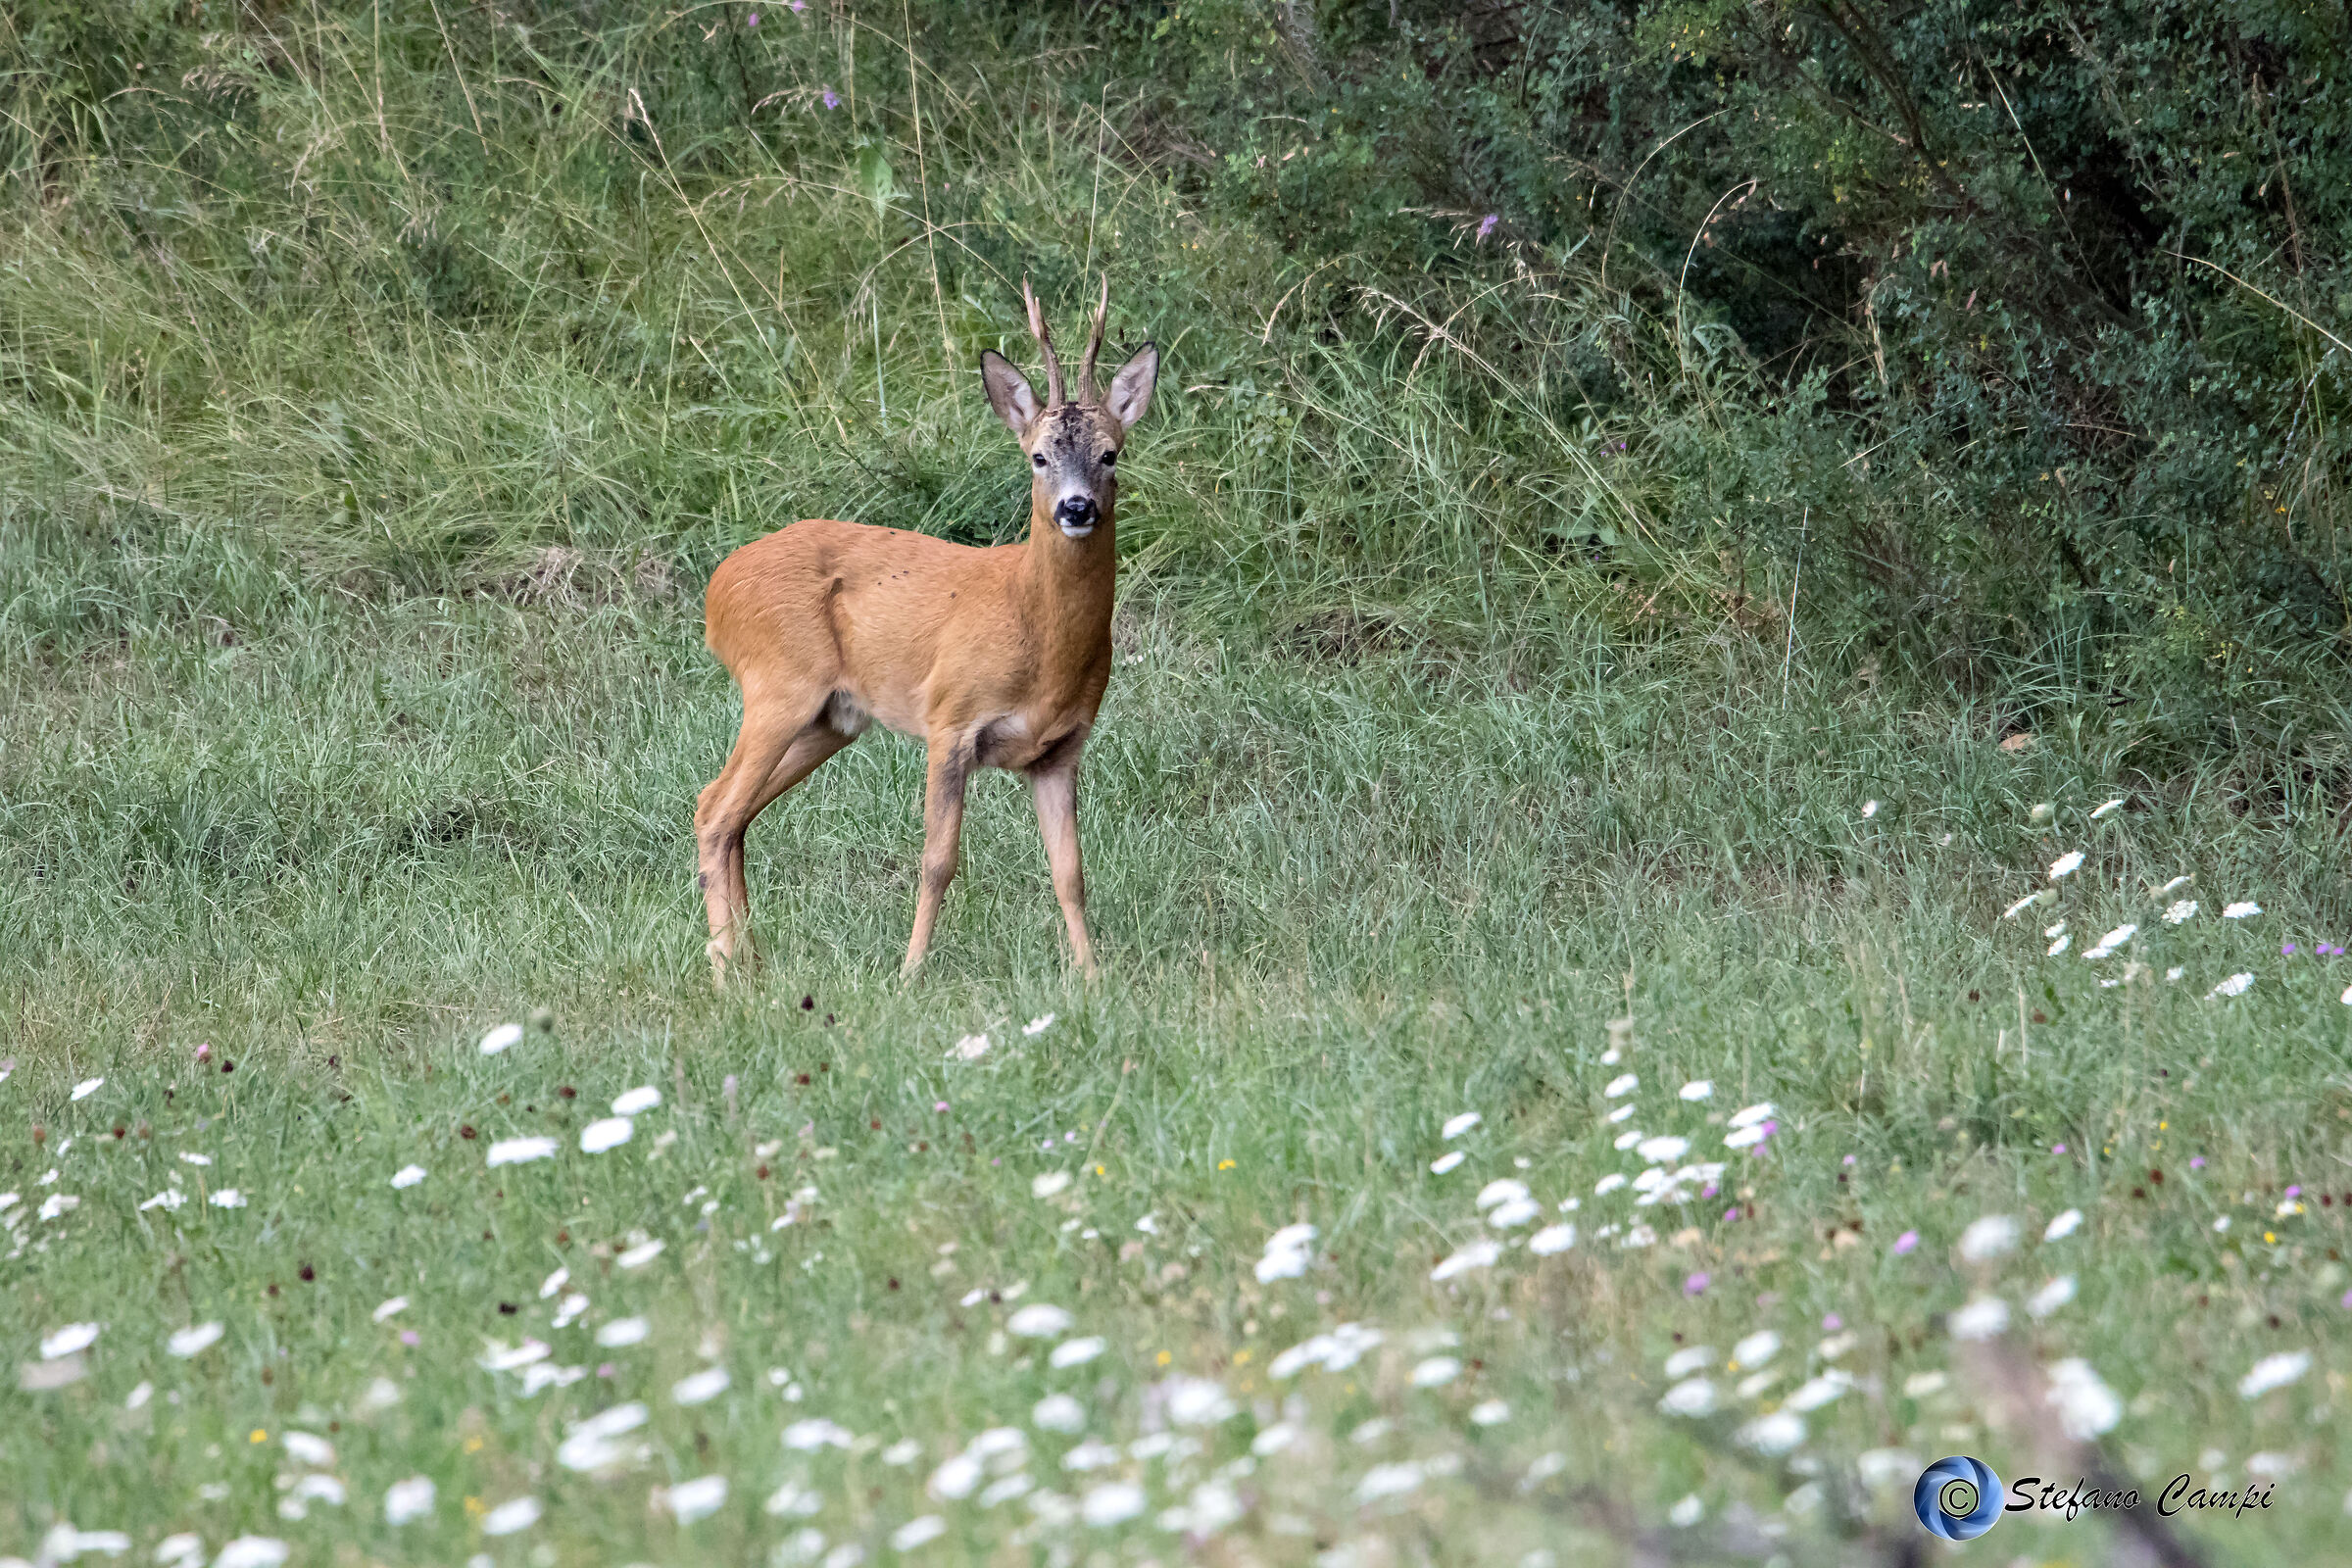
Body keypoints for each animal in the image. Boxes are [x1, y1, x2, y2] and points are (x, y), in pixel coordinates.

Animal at [695, 279, 1157, 986]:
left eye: (1110, 454)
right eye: (1038, 455)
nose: (1076, 507)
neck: (1037, 636)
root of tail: (717, 589)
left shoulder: (1061, 748)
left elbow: (1071, 872)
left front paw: (1092, 978)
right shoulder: (951, 719)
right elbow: (937, 862)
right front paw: (911, 974)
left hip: (833, 716)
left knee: (731, 811)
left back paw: (752, 963)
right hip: (778, 683)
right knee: (716, 809)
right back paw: (727, 972)